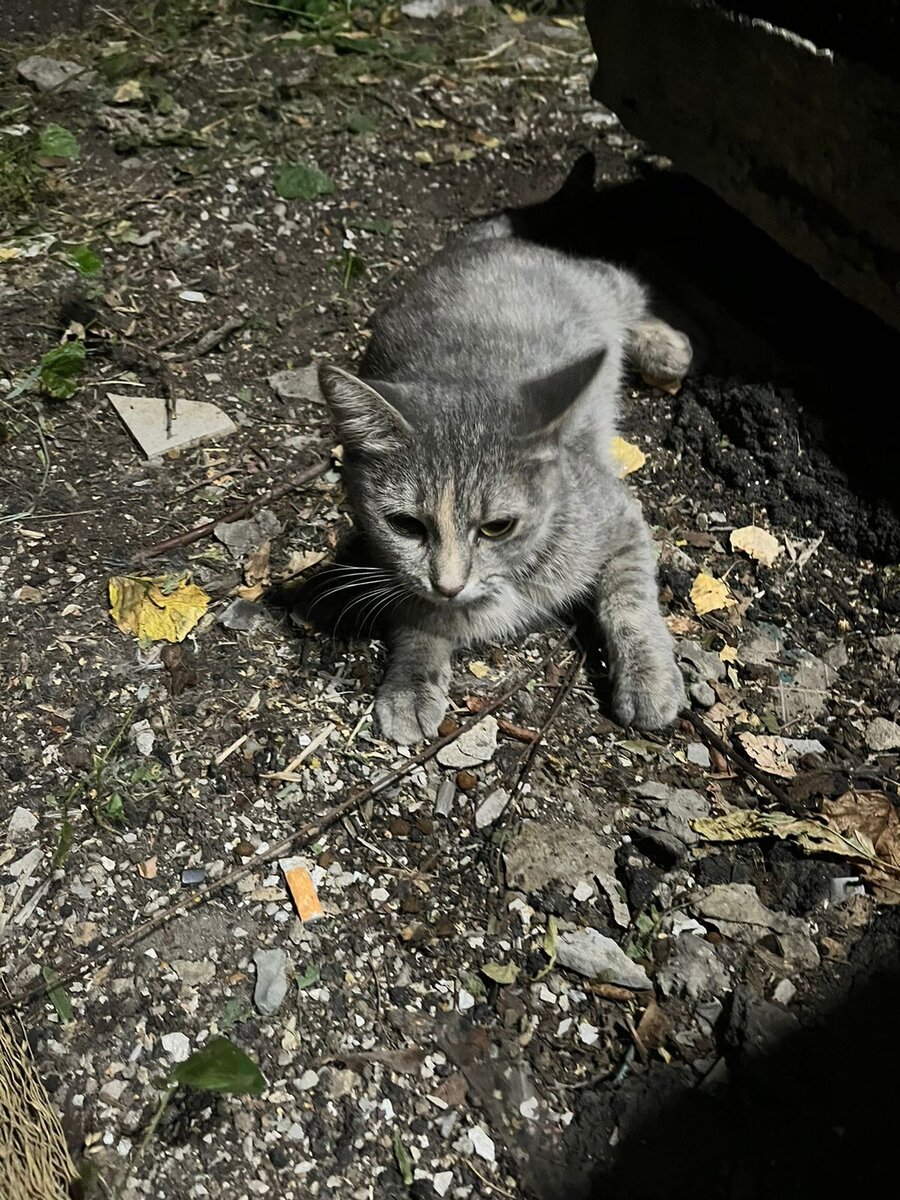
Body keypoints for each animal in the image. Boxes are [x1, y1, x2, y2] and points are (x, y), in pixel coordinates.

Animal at [321, 216, 696, 739]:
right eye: (406, 525)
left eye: (497, 527)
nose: (449, 584)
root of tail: (485, 243)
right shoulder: (393, 567)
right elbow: (418, 617)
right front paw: (411, 682)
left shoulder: (620, 518)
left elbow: (631, 600)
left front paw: (649, 675)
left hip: (600, 288)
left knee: (626, 285)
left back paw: (663, 344)